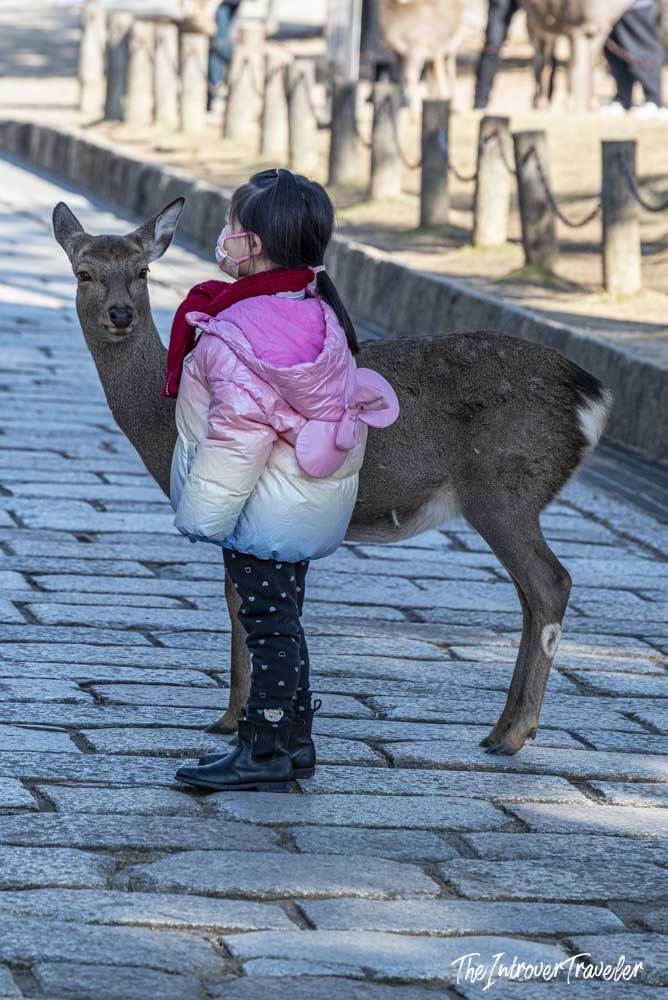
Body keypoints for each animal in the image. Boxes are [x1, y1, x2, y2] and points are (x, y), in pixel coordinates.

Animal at [52, 197, 612, 757]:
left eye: (142, 271)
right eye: (84, 273)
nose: (120, 314)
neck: (162, 419)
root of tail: (594, 398)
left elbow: (239, 603)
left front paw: (231, 718)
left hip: (503, 487)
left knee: (549, 582)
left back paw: (514, 734)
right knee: (529, 594)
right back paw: (503, 728)